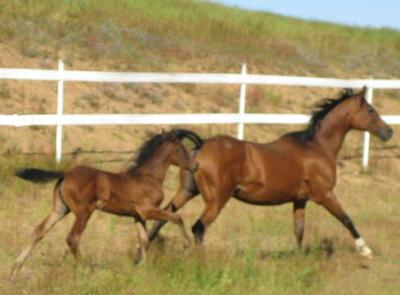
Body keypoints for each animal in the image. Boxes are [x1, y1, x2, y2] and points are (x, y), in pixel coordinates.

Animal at [10, 130, 203, 282]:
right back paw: (83, 270)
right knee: (72, 238)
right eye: (182, 149)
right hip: (83, 212)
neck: (148, 177)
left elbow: (144, 240)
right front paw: (186, 247)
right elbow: (177, 217)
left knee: (39, 230)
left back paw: (14, 271)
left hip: (60, 209)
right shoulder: (147, 211)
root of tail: (65, 174)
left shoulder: (137, 216)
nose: (195, 166)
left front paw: (141, 268)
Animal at [149, 86, 394, 258]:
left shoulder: (300, 200)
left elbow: (299, 231)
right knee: (198, 227)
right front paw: (365, 250)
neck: (317, 147)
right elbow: (346, 219)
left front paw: (300, 260)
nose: (388, 132)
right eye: (371, 110)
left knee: (165, 216)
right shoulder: (324, 195)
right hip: (216, 199)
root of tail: (200, 147)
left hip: (188, 191)